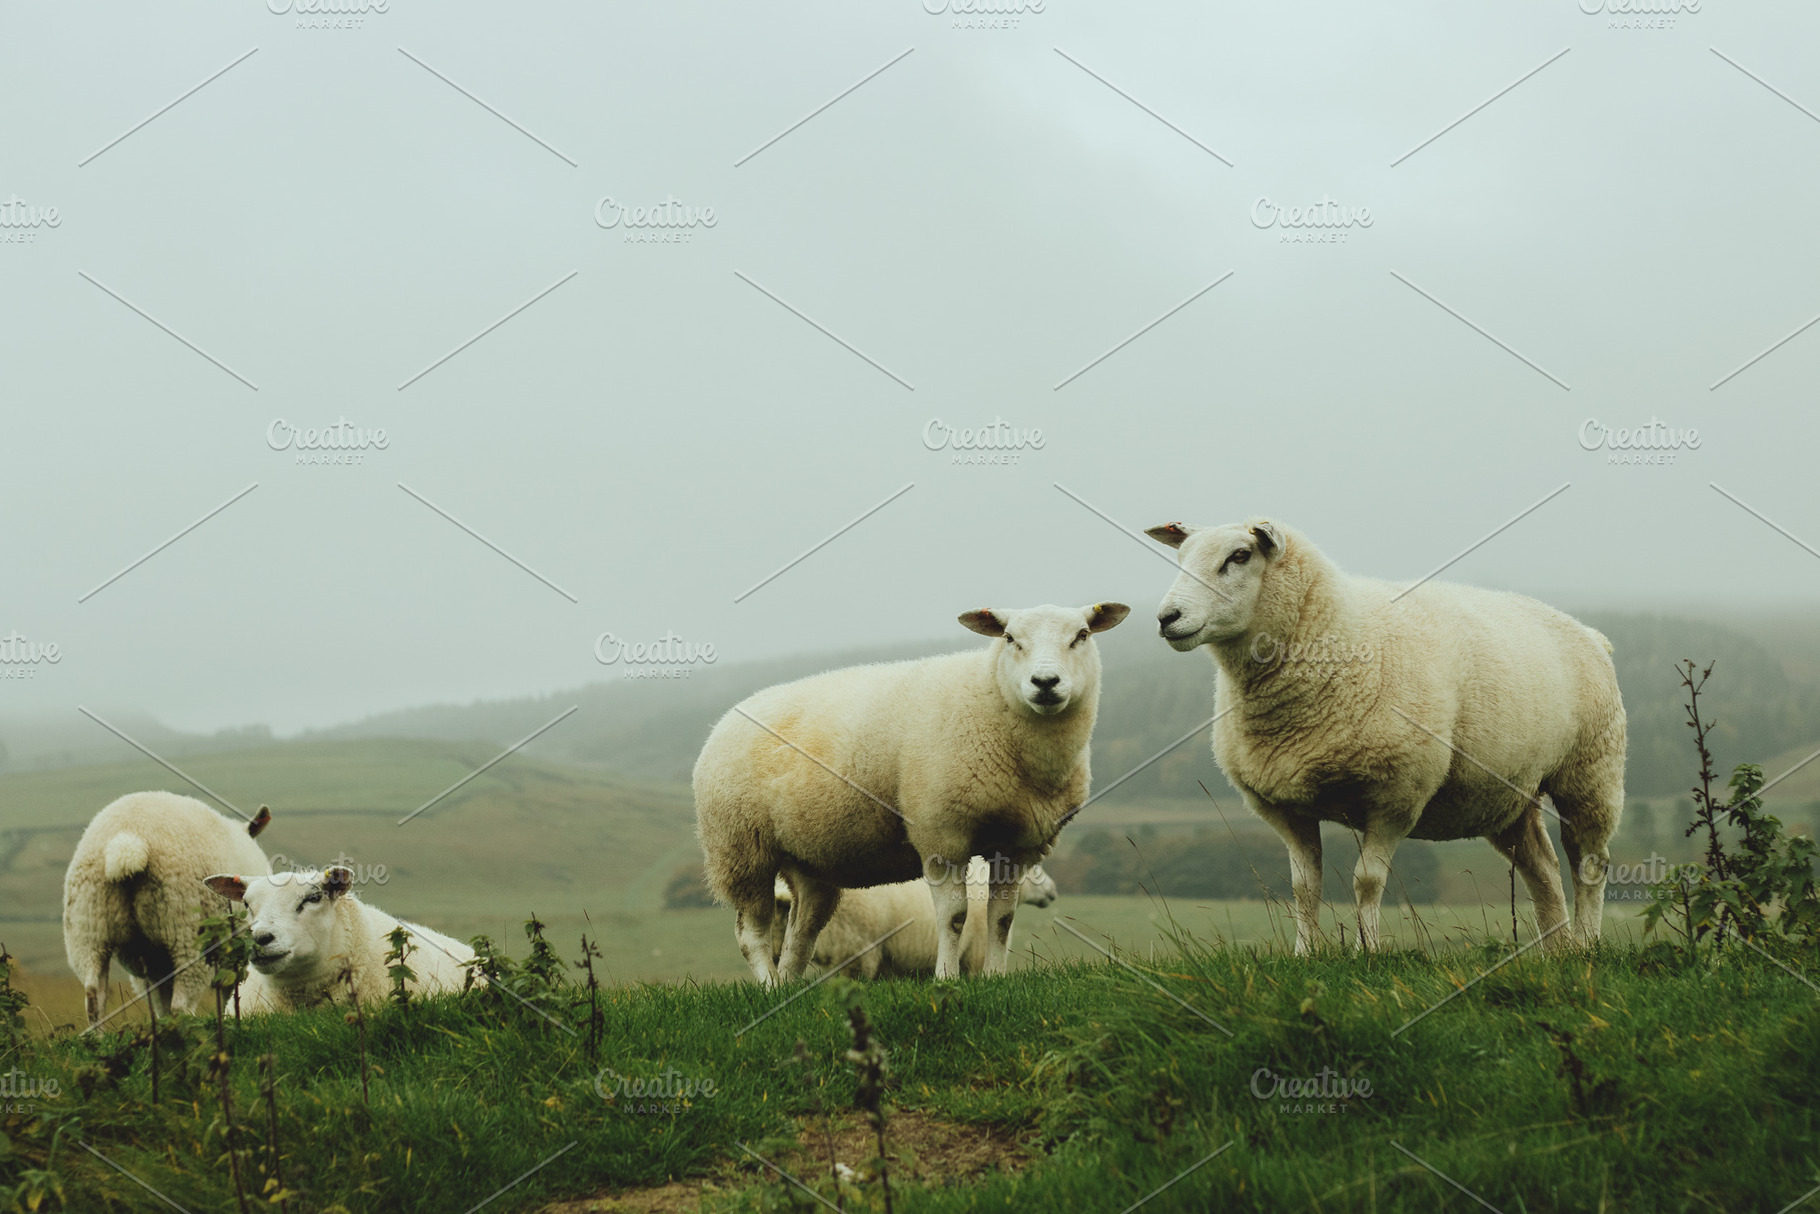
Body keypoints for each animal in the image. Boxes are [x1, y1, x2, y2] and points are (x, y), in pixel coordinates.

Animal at [63, 791, 273, 1027]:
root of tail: (129, 841)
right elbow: (230, 993)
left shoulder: (154, 968)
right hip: (188, 933)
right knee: (181, 1004)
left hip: (87, 926)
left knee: (93, 997)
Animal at [1147, 517, 1625, 954]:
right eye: (1181, 557)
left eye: (1240, 556)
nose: (1167, 618)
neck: (1339, 634)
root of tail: (1589, 632)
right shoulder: (1284, 805)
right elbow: (1304, 886)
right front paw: (1303, 955)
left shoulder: (1396, 795)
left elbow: (1368, 881)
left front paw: (1367, 951)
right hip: (1505, 795)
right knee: (1542, 867)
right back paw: (1556, 951)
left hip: (1592, 770)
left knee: (1589, 863)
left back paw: (1586, 943)